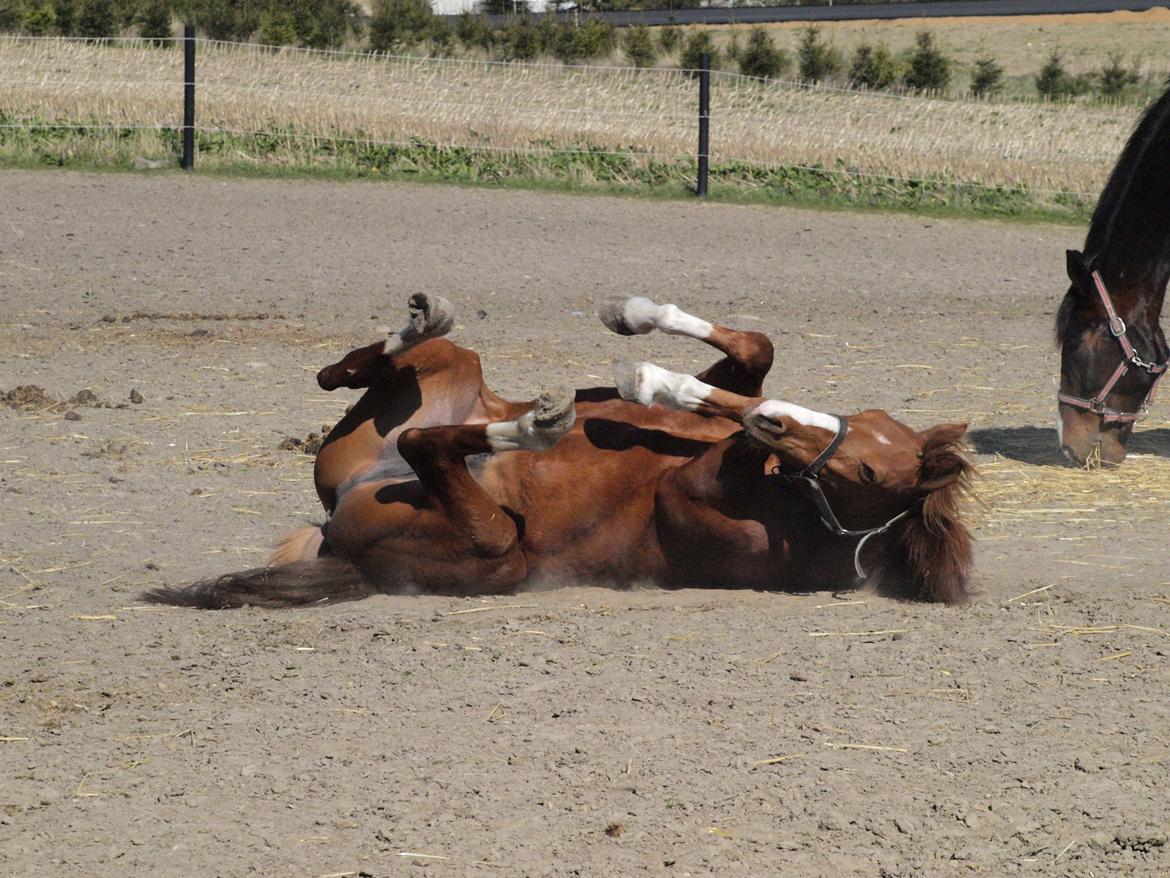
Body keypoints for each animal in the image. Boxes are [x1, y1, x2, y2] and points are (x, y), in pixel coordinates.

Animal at [146, 296, 968, 613]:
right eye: (868, 427)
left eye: (867, 473)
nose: (794, 421)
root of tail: (335, 534)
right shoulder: (741, 404)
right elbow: (754, 358)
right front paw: (637, 329)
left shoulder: (699, 489)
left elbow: (744, 413)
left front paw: (651, 376)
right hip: (451, 371)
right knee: (365, 369)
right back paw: (426, 325)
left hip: (498, 549)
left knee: (423, 444)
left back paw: (534, 426)